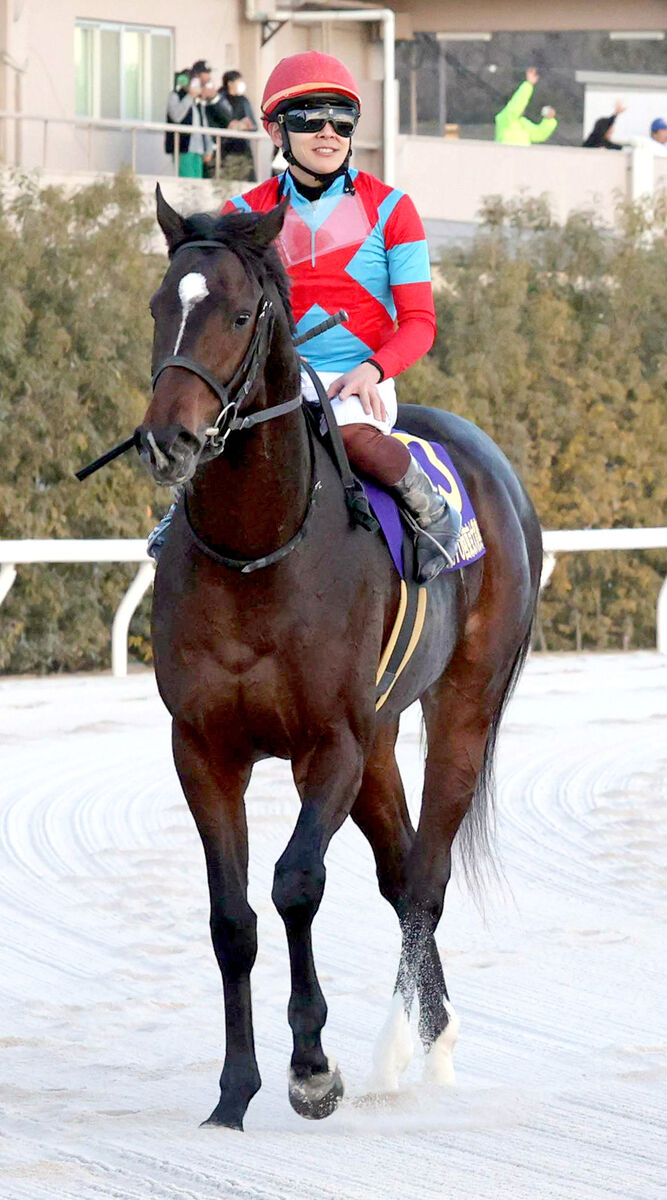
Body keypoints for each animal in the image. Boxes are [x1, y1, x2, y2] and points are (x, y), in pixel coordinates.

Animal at [137, 182, 544, 1128]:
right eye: (159, 307)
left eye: (238, 314)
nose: (169, 440)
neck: (257, 553)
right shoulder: (202, 749)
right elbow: (231, 920)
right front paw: (233, 1092)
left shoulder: (329, 744)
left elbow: (295, 883)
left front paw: (312, 1068)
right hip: (383, 740)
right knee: (400, 874)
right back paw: (433, 1034)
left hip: (459, 710)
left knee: (425, 879)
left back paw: (403, 1049)